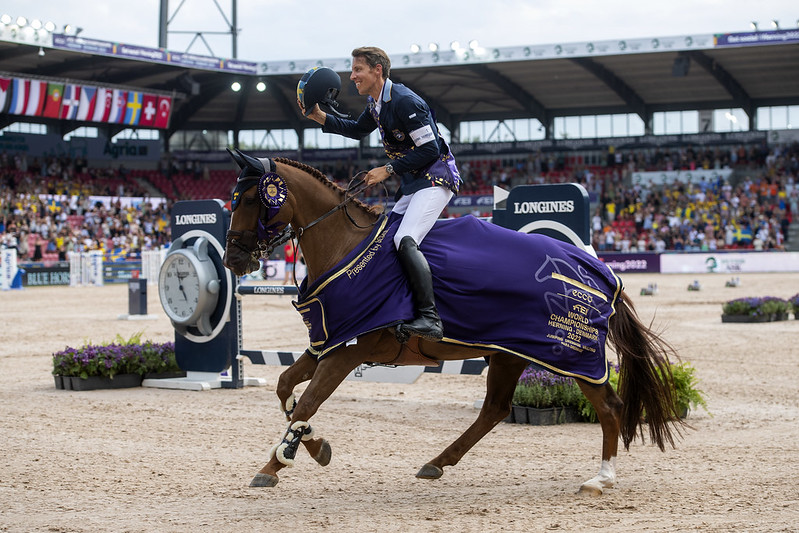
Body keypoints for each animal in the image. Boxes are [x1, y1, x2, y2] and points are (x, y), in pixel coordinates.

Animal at [222, 148, 684, 492]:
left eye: (250, 199)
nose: (233, 260)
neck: (345, 247)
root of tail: (599, 271)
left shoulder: (348, 351)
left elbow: (307, 401)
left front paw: (275, 464)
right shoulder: (330, 342)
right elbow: (287, 389)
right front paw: (313, 445)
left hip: (570, 355)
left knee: (609, 406)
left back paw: (602, 477)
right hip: (510, 353)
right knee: (495, 410)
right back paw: (437, 462)